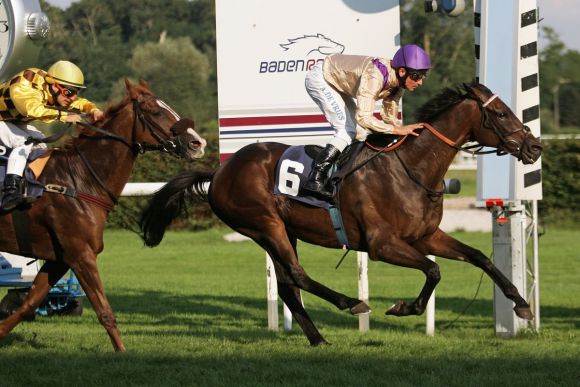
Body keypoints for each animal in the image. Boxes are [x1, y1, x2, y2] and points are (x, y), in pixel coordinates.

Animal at [0, 79, 206, 352]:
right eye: (155, 111)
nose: (198, 143)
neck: (78, 180)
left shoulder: (60, 258)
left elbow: (29, 304)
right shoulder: (81, 254)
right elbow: (104, 310)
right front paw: (122, 352)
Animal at [139, 82, 544, 346]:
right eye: (500, 113)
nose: (535, 146)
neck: (411, 169)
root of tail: (220, 171)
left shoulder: (425, 236)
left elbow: (479, 257)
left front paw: (522, 306)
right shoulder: (383, 245)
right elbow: (433, 270)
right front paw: (404, 307)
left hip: (281, 231)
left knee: (287, 285)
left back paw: (319, 339)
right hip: (265, 225)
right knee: (297, 275)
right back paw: (351, 303)